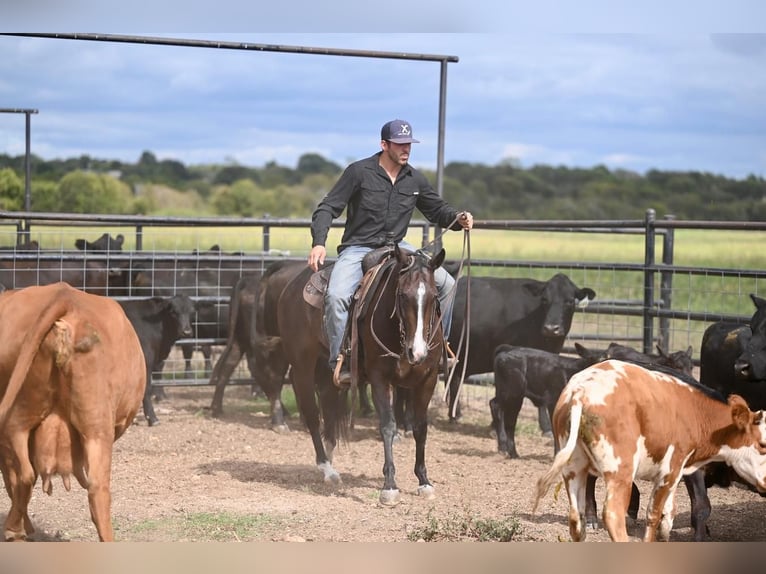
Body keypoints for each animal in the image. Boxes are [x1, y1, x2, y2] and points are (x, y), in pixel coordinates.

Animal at [0, 284, 147, 544]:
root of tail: (65, 295)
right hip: (96, 426)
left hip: (19, 415)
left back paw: (15, 530)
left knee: (24, 475)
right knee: (97, 487)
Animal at [118, 296, 198, 428]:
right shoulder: (146, 362)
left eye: (192, 312)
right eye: (173, 312)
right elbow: (146, 389)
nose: (186, 332)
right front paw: (152, 418)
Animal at [536, 360, 766, 544]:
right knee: (612, 514)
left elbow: (669, 511)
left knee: (576, 518)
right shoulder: (672, 468)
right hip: (620, 471)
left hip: (573, 468)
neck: (695, 412)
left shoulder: (678, 472)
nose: (765, 483)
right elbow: (657, 513)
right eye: (763, 444)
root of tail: (580, 393)